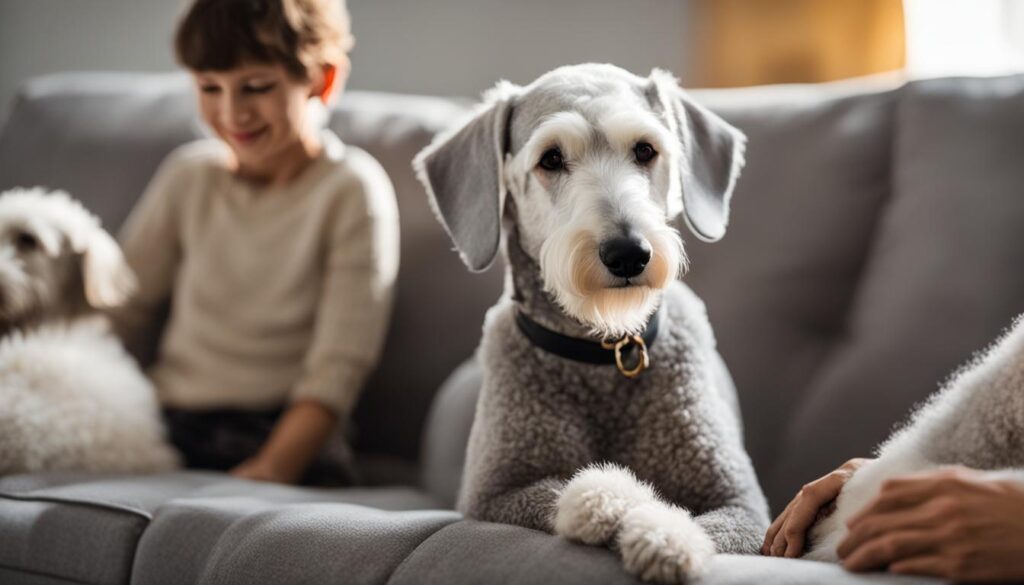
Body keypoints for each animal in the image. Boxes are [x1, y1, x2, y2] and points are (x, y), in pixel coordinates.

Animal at [415, 61, 770, 581]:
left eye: (645, 150)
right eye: (550, 159)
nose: (628, 253)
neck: (604, 357)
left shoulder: (745, 505)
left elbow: (709, 523)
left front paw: (666, 536)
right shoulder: (492, 494)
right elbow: (562, 491)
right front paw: (615, 504)